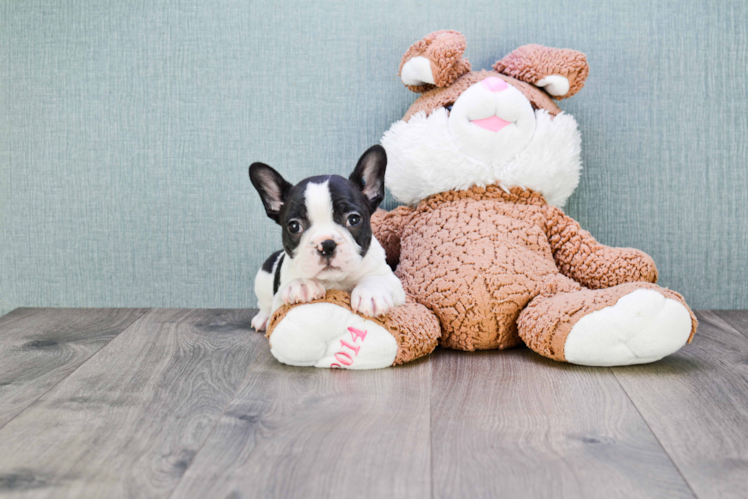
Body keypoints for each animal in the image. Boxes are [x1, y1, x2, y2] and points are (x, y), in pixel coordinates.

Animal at [250, 146, 404, 332]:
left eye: (354, 219)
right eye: (294, 226)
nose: (327, 245)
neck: (335, 280)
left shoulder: (393, 283)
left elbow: (377, 279)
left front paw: (371, 293)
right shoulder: (279, 304)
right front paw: (302, 284)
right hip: (262, 279)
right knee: (264, 304)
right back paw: (262, 318)